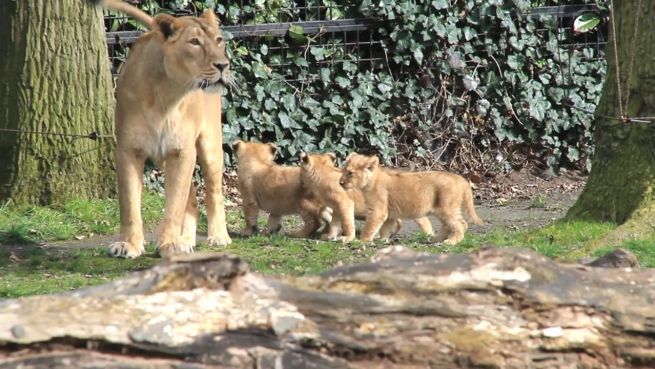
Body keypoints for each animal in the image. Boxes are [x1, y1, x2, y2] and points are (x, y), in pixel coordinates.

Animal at [101, 0, 234, 258]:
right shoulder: (128, 151)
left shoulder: (182, 152)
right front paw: (129, 244)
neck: (166, 96)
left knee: (213, 191)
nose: (223, 65)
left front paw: (169, 244)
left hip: (210, 145)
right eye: (194, 42)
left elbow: (175, 205)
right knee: (192, 200)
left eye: (219, 40)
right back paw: (186, 239)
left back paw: (218, 236)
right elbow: (129, 204)